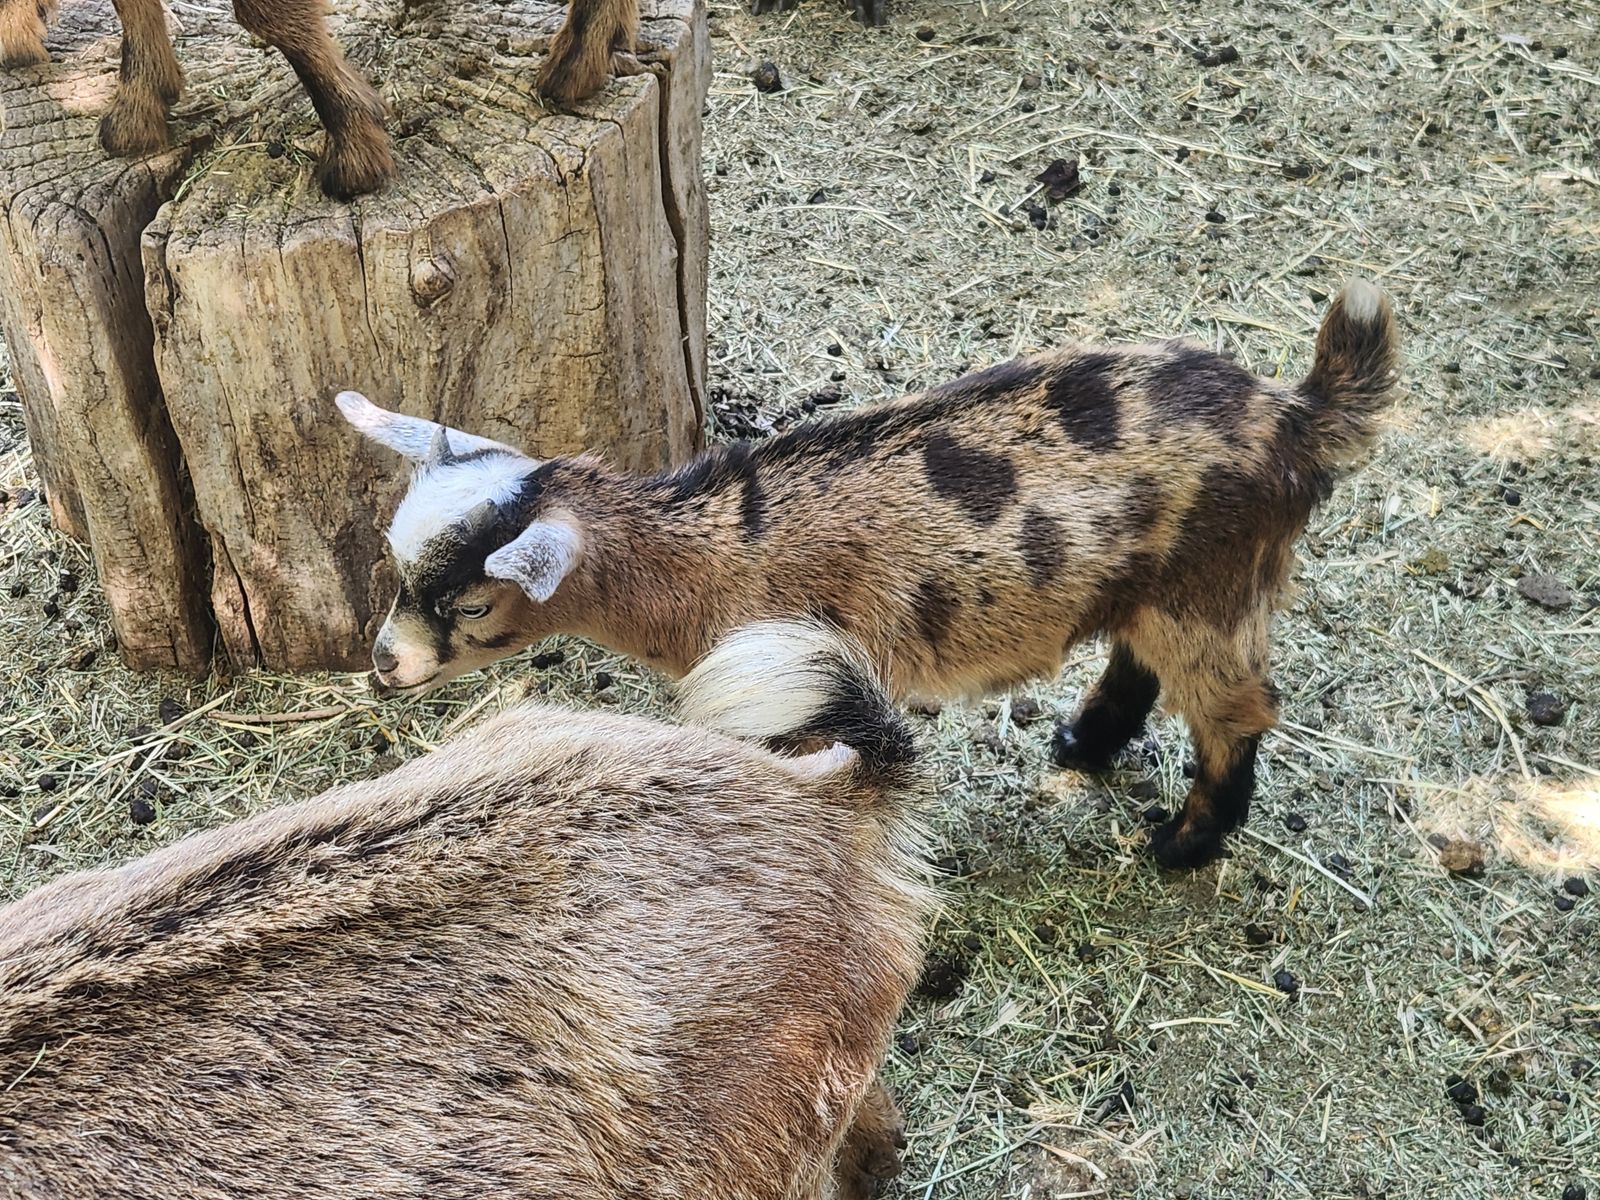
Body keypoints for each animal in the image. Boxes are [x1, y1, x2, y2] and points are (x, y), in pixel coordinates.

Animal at [337, 280, 1400, 868]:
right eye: (394, 563)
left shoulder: (799, 664)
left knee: (1237, 709)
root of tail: (1295, 415)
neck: (709, 547)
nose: (385, 664)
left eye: (472, 602)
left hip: (1212, 585)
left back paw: (1182, 845)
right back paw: (1083, 744)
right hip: (1159, 583)